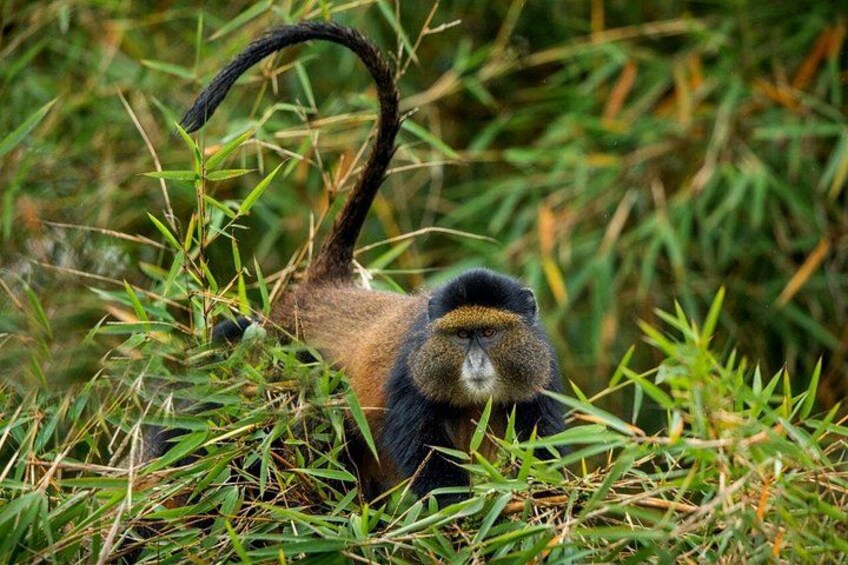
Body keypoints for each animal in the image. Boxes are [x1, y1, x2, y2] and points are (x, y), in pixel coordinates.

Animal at [175, 21, 567, 504]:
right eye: (461, 336)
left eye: (490, 333)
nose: (476, 362)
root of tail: (326, 286)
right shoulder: (408, 376)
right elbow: (424, 453)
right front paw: (460, 508)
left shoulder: (541, 373)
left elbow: (542, 445)